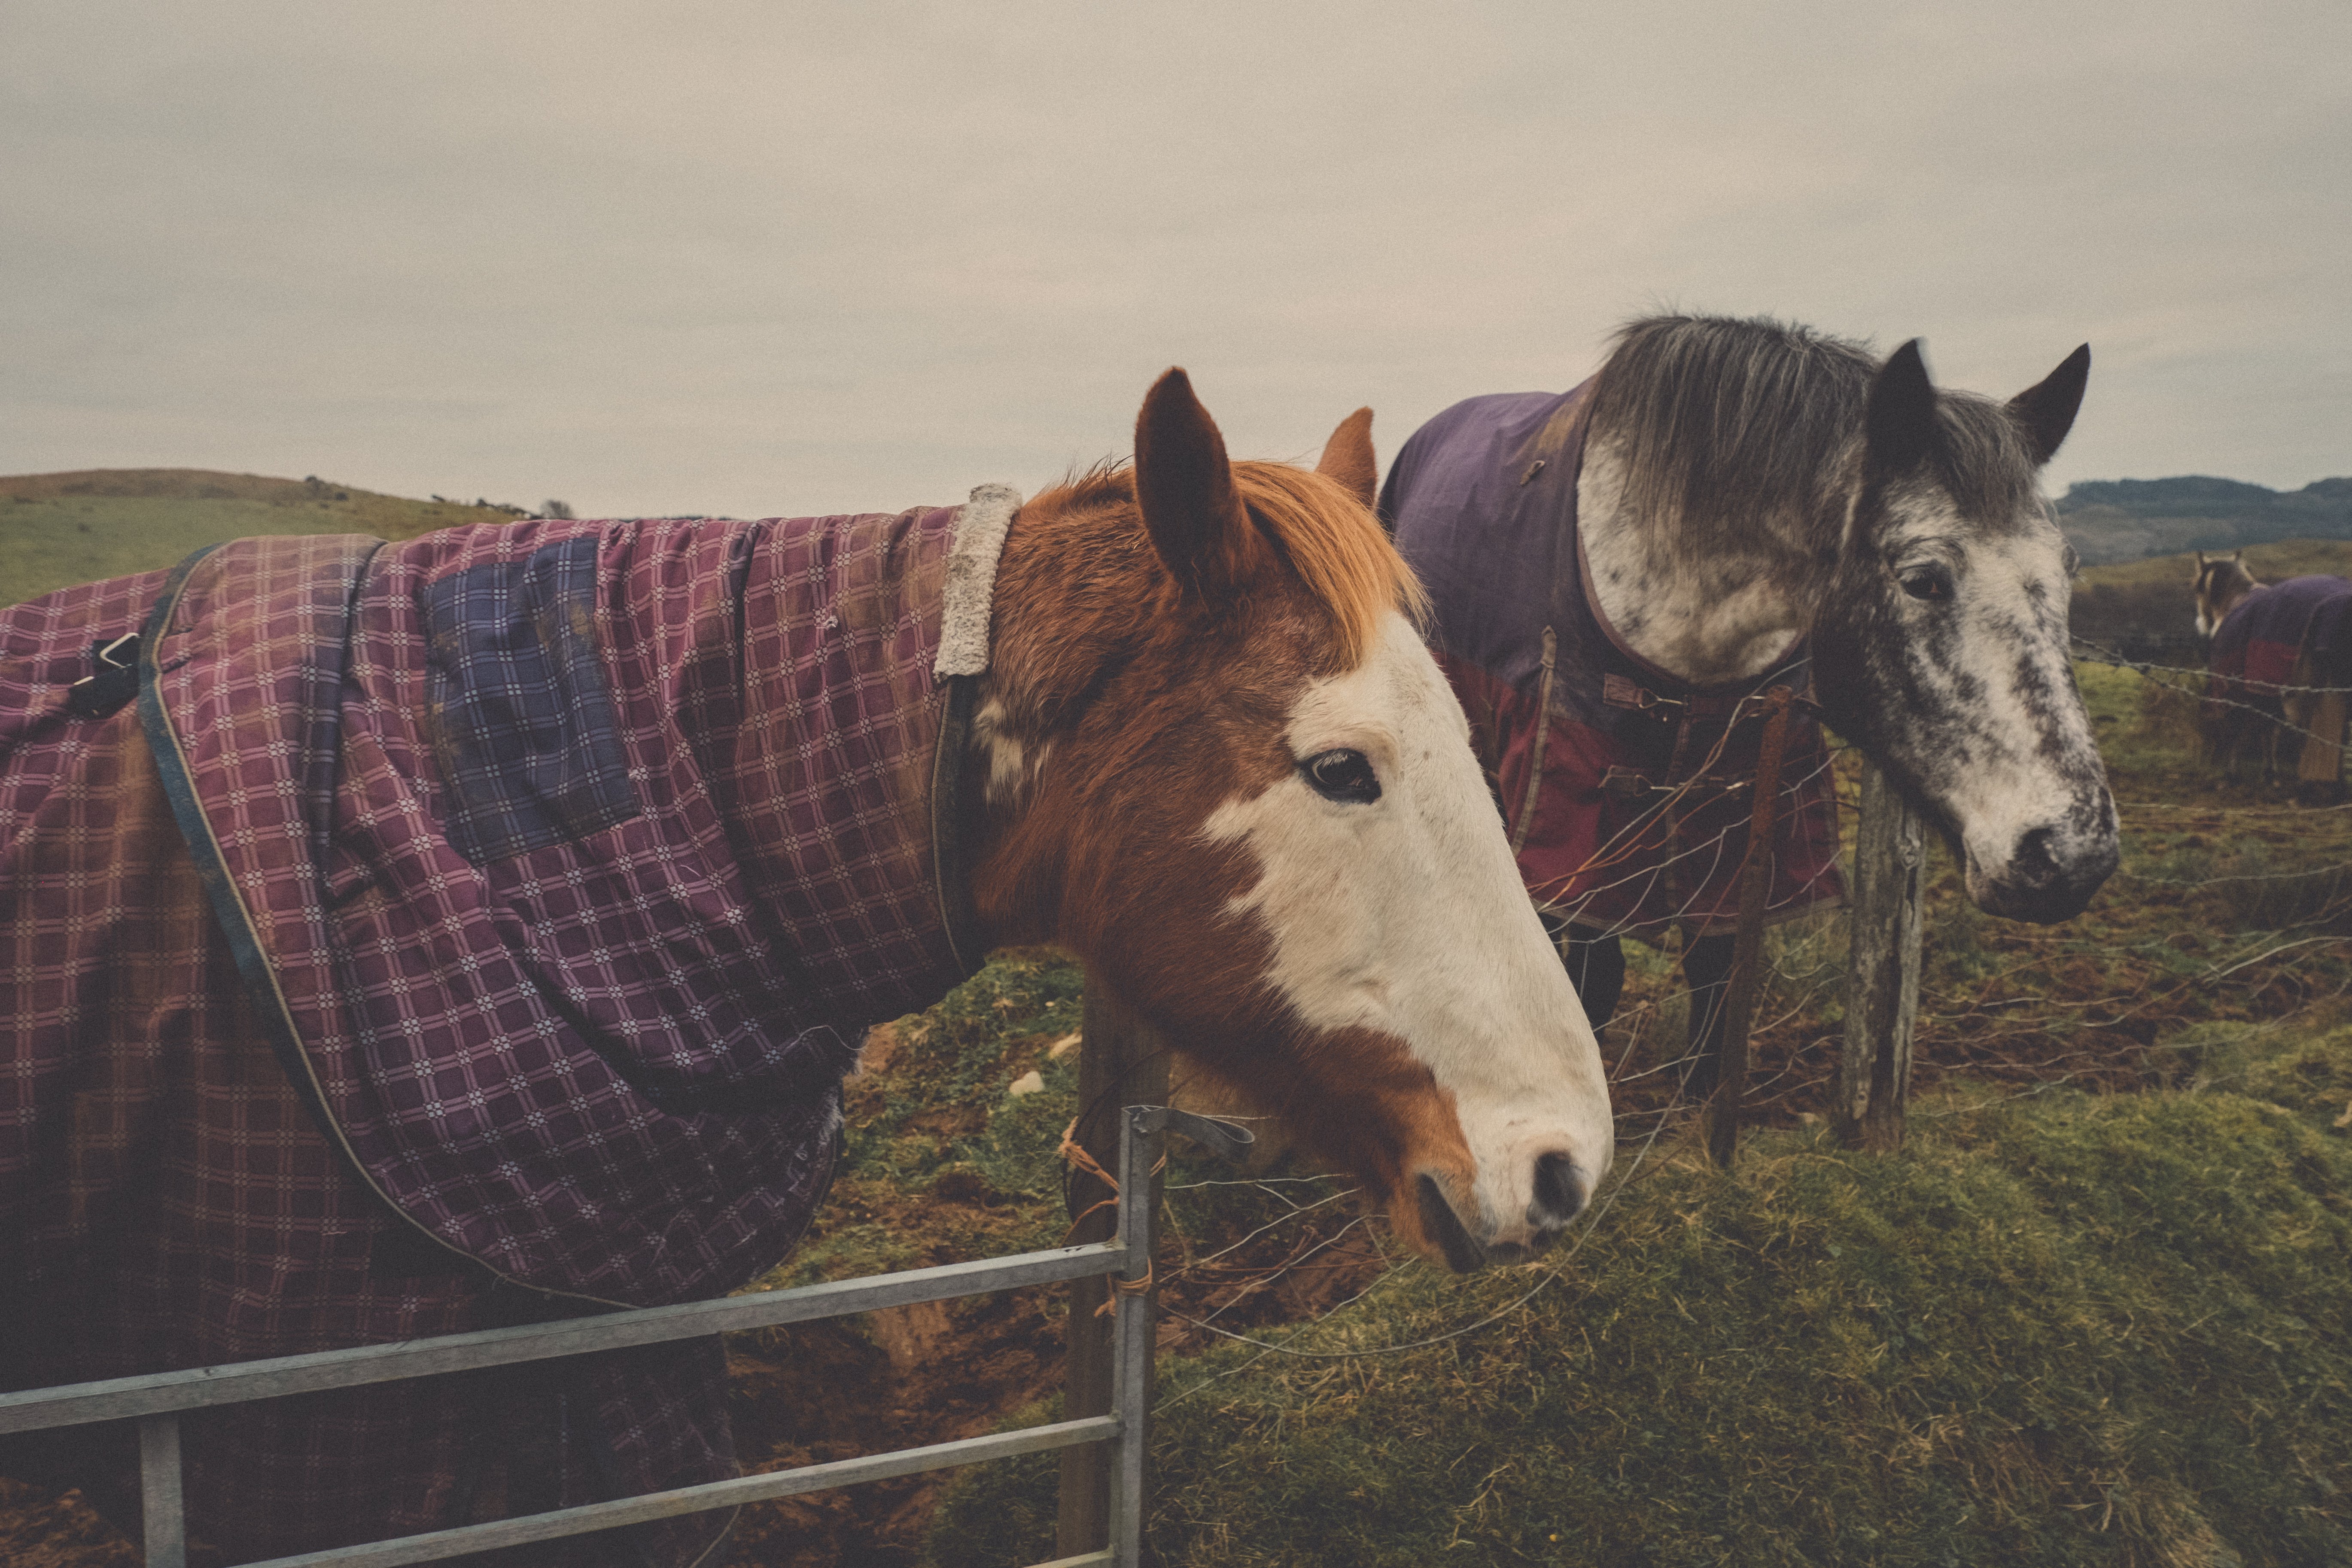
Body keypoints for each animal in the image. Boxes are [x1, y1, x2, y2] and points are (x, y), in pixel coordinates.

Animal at [1383, 313, 2126, 1086]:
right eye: (1923, 579)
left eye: (2067, 572)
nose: (2072, 856)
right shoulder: (1573, 822)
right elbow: (1591, 977)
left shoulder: (1739, 811)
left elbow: (1714, 971)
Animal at [2192, 552, 2343, 799]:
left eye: (2196, 587)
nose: (2202, 624)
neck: (2235, 602)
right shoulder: (2266, 689)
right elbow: (2270, 730)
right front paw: (2271, 775)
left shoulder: (2236, 689)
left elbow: (2237, 728)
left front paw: (2232, 775)